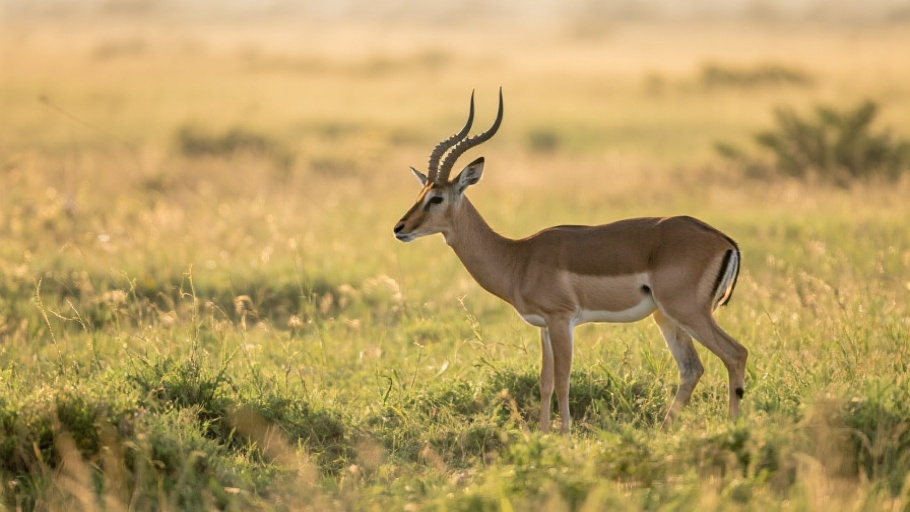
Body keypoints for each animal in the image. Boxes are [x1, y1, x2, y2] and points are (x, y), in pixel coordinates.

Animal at [393, 90, 748, 433]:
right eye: (419, 194)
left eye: (436, 198)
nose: (400, 228)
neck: (518, 258)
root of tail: (724, 240)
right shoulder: (544, 327)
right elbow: (545, 381)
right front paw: (544, 432)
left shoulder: (562, 320)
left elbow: (563, 380)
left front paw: (563, 433)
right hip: (666, 317)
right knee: (691, 368)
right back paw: (665, 428)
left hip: (689, 313)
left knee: (735, 354)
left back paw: (732, 427)